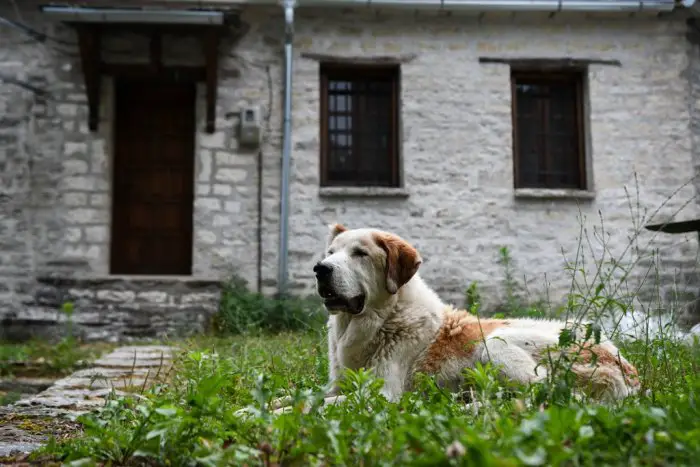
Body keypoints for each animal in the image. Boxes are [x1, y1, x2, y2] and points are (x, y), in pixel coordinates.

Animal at [272, 225, 640, 414]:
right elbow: (301, 397)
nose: (320, 269)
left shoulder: (381, 395)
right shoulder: (337, 386)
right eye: (330, 253)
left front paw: (272, 414)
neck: (382, 318)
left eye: (359, 254)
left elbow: (310, 407)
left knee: (558, 399)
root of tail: (627, 370)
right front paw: (269, 404)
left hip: (496, 345)